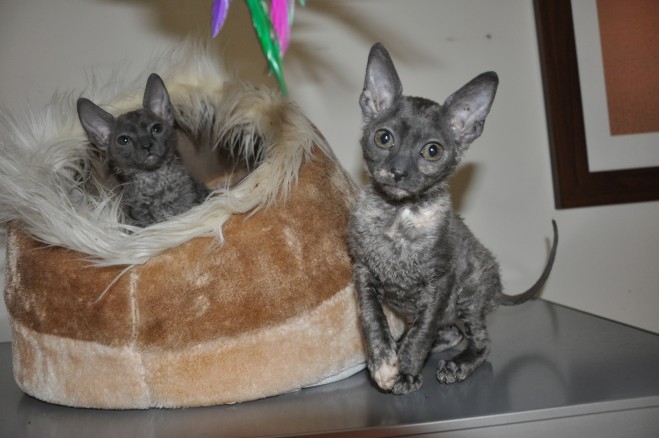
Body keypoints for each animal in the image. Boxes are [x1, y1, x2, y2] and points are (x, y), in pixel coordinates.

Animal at [78, 72, 210, 228]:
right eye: (124, 140)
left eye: (156, 129)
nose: (147, 145)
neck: (154, 181)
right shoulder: (141, 219)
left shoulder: (188, 201)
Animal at [348, 42, 560, 396]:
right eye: (383, 138)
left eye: (432, 151)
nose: (398, 171)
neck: (397, 216)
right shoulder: (362, 270)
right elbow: (371, 318)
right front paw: (382, 362)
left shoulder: (441, 281)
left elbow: (423, 330)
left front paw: (406, 371)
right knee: (450, 332)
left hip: (468, 294)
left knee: (479, 340)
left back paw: (457, 364)